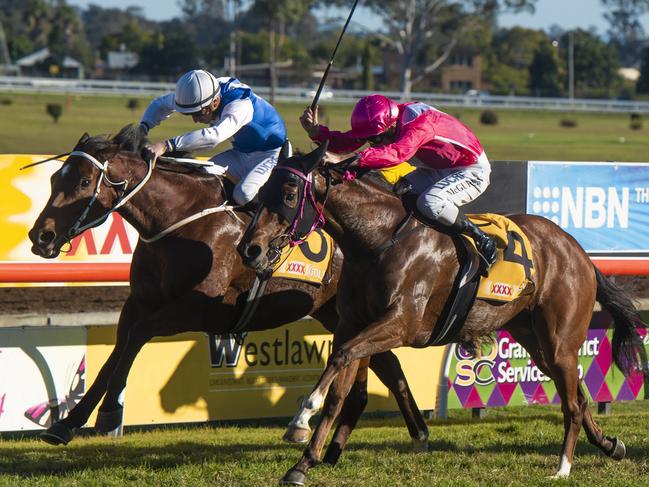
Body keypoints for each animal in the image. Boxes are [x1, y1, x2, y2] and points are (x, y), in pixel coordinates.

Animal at [29, 126, 430, 462]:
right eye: (53, 179)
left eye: (84, 181)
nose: (40, 237)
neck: (178, 220)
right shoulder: (138, 302)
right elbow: (117, 351)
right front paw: (67, 422)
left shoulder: (201, 308)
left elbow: (136, 339)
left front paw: (110, 412)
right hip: (341, 313)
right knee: (388, 364)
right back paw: (416, 433)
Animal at [239, 143, 644, 486]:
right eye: (262, 191)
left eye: (289, 193)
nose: (249, 249)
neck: (377, 240)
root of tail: (577, 250)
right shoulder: (352, 323)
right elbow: (339, 385)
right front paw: (303, 463)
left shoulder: (400, 324)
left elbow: (341, 359)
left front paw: (300, 420)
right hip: (535, 340)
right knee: (579, 394)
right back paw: (610, 445)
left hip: (560, 339)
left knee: (573, 403)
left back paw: (563, 467)